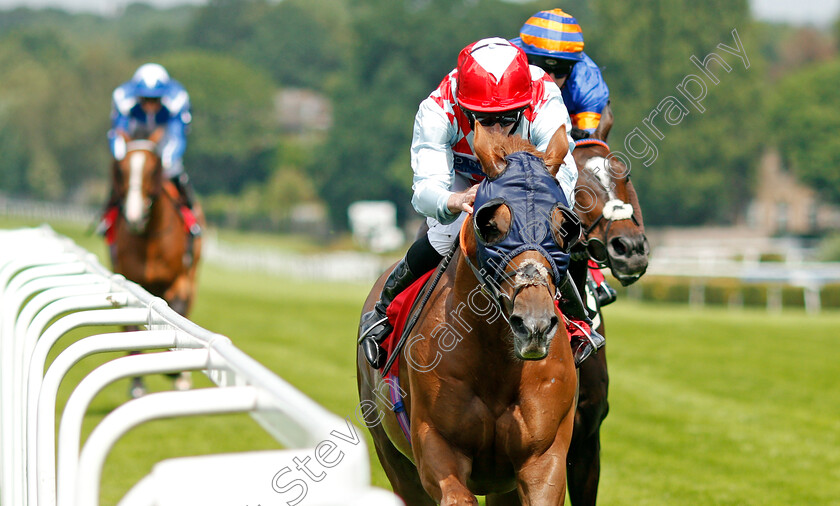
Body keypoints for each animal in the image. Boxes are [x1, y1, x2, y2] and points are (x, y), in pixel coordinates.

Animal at [110, 140, 205, 398]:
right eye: (121, 169)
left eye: (153, 170)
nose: (133, 215)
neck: (150, 239)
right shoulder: (130, 279)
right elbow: (132, 328)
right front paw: (137, 383)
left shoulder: (179, 280)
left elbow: (179, 314)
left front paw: (176, 372)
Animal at [358, 123, 580, 506]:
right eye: (490, 225)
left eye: (563, 228)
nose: (534, 324)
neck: (497, 367)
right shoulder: (437, 448)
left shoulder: (543, 458)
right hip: (393, 457)